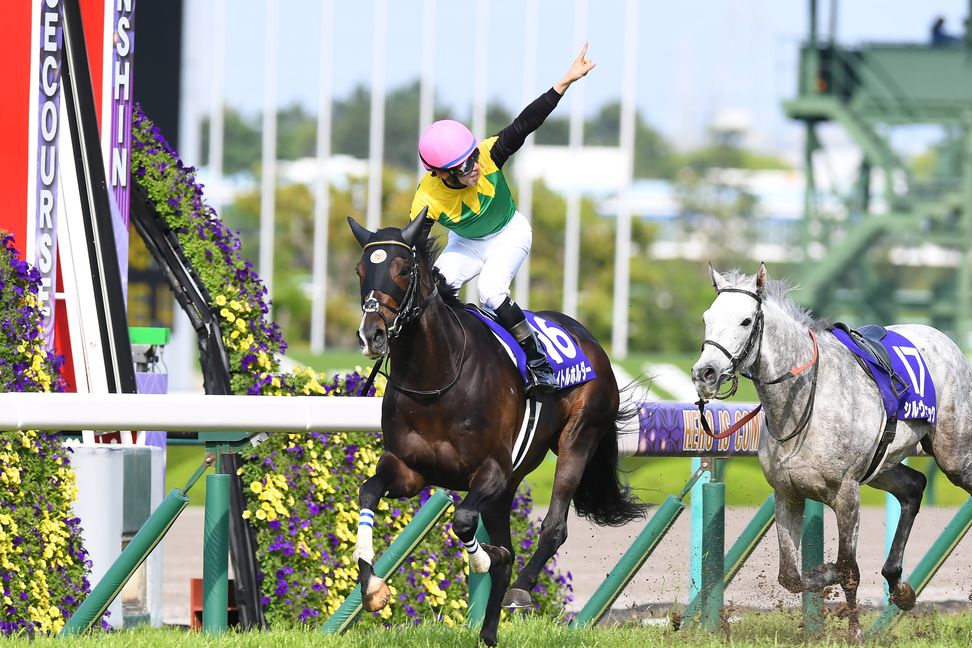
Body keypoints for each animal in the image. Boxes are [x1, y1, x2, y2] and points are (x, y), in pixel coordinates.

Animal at [346, 211, 646, 645]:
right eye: (360, 270)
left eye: (403, 269)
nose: (372, 334)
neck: (436, 379)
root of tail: (589, 339)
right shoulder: (410, 469)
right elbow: (368, 491)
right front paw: (372, 588)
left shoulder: (490, 470)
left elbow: (463, 521)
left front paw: (488, 560)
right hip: (509, 485)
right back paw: (489, 631)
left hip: (578, 436)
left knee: (554, 527)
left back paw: (520, 588)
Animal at [691, 262, 972, 638]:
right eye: (707, 317)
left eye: (746, 321)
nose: (704, 373)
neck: (801, 404)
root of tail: (944, 339)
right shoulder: (787, 494)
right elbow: (792, 577)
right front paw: (822, 574)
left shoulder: (846, 493)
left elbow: (848, 568)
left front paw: (854, 631)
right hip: (882, 465)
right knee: (914, 486)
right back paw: (899, 586)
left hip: (953, 455)